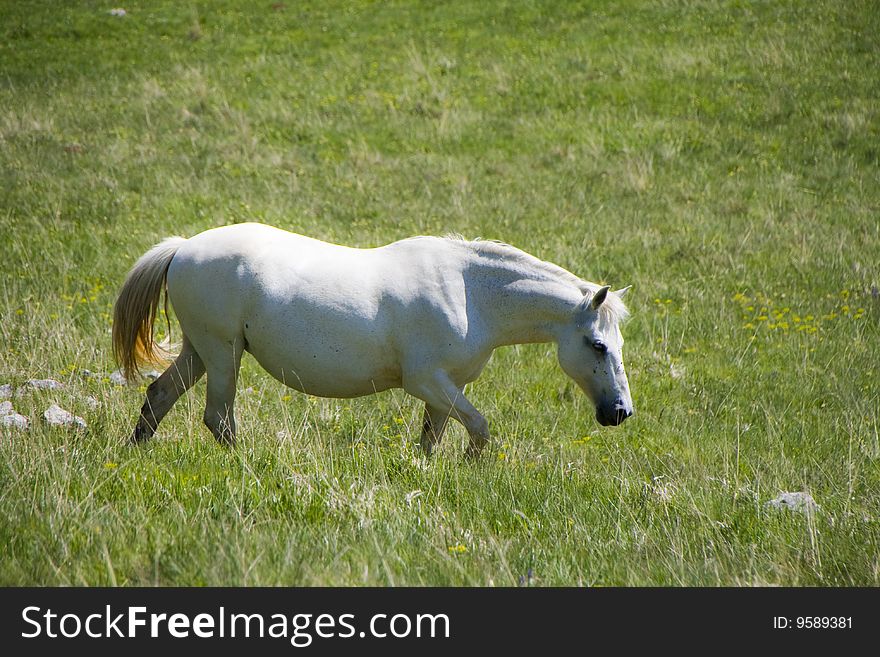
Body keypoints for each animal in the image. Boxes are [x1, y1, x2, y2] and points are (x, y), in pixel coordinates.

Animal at [111, 223, 632, 454]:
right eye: (598, 345)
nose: (620, 412)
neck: (469, 293)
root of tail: (182, 249)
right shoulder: (426, 381)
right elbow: (480, 428)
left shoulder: (445, 390)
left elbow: (431, 441)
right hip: (222, 354)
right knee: (218, 418)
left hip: (201, 352)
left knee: (160, 394)